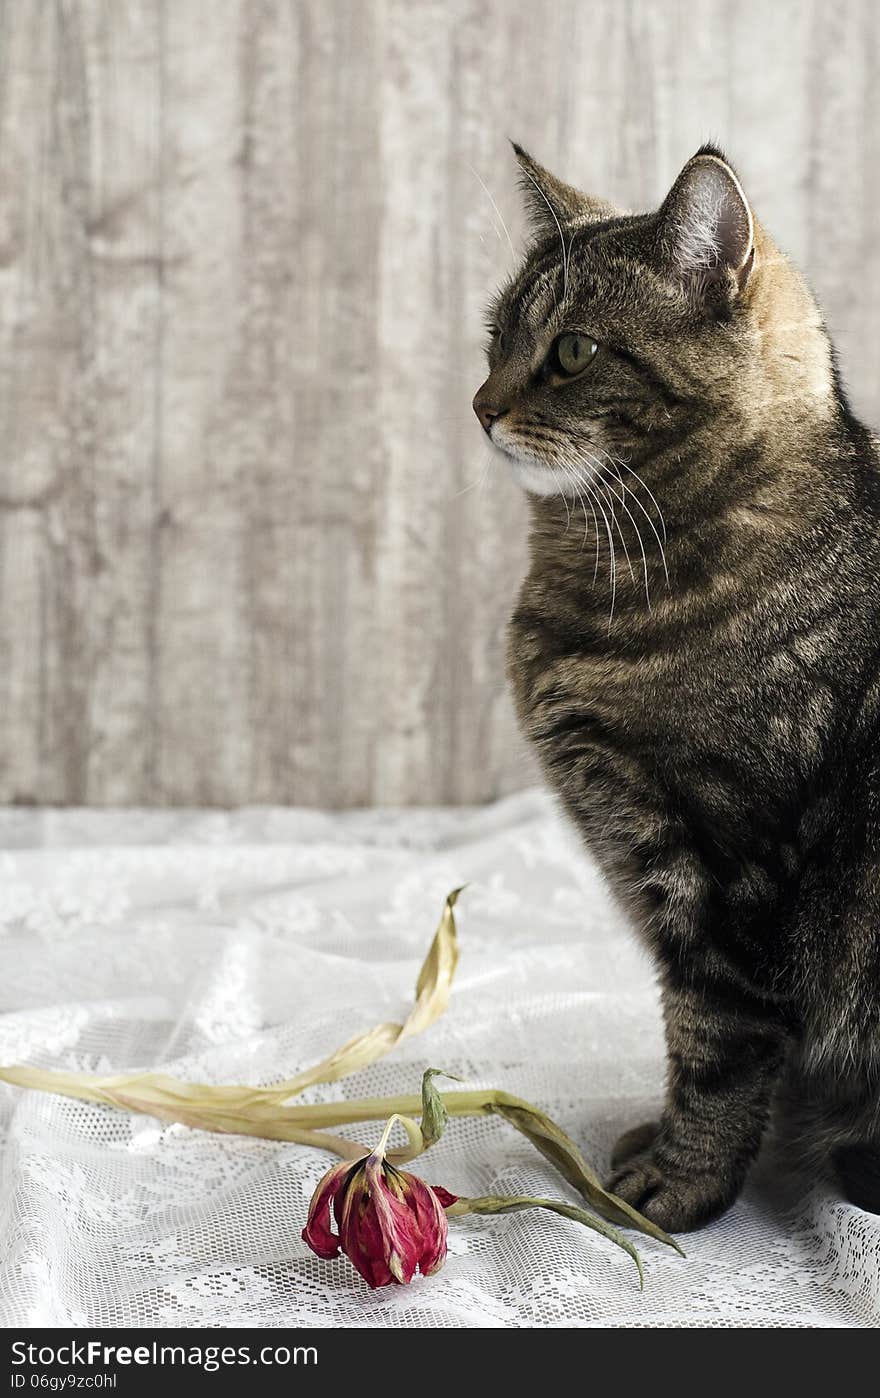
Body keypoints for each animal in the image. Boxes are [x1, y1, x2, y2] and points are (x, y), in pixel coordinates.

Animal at [475, 144, 880, 1235]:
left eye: (573, 351)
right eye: (494, 339)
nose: (481, 405)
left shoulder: (730, 864)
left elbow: (715, 1043)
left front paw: (682, 1180)